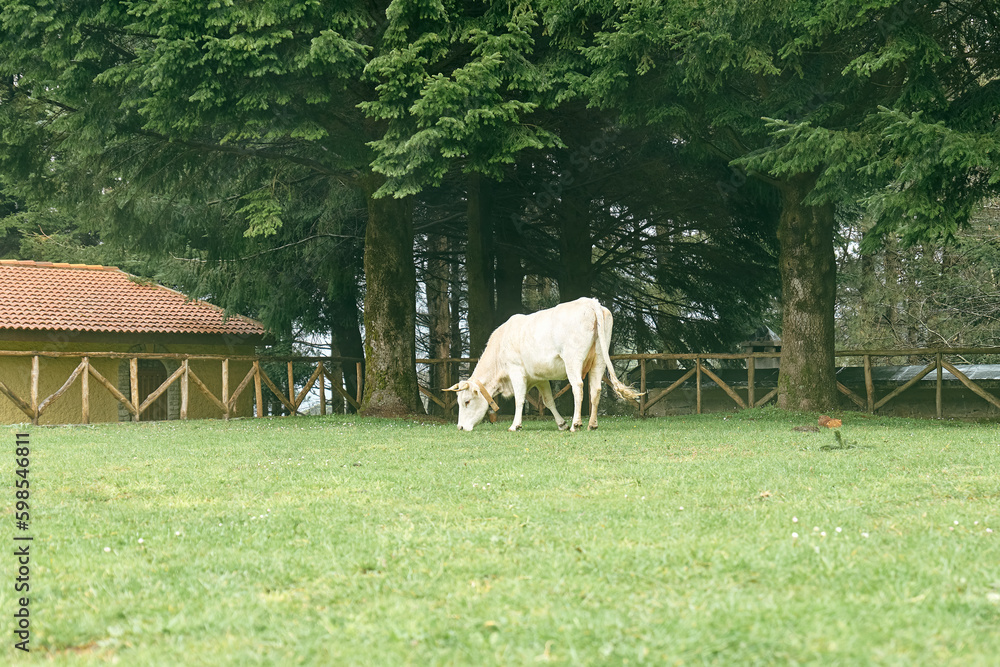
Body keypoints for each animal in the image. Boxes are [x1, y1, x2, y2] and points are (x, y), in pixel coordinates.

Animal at [444, 297, 640, 432]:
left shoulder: (516, 370)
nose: (460, 427)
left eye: (467, 401)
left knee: (578, 387)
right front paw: (561, 423)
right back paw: (592, 424)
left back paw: (576, 424)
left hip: (573, 360)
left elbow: (519, 398)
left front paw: (515, 425)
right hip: (598, 359)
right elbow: (548, 401)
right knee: (595, 390)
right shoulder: (540, 378)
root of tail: (589, 301)